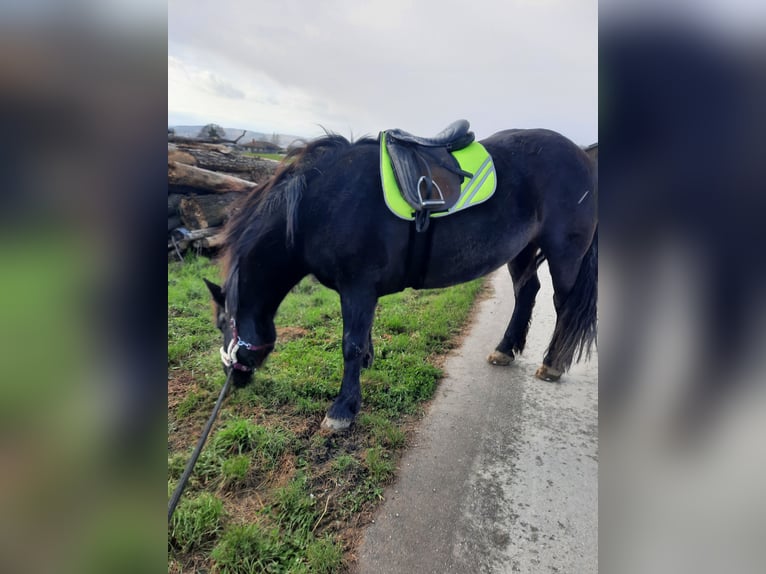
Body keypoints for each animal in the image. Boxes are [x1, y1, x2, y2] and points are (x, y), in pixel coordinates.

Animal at [206, 127, 600, 432]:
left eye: (224, 322)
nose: (233, 376)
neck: (319, 204)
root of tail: (582, 157)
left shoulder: (357, 287)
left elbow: (350, 344)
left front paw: (343, 409)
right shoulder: (362, 293)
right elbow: (362, 338)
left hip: (565, 253)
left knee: (563, 305)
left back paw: (553, 363)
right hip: (521, 249)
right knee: (527, 292)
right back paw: (505, 349)